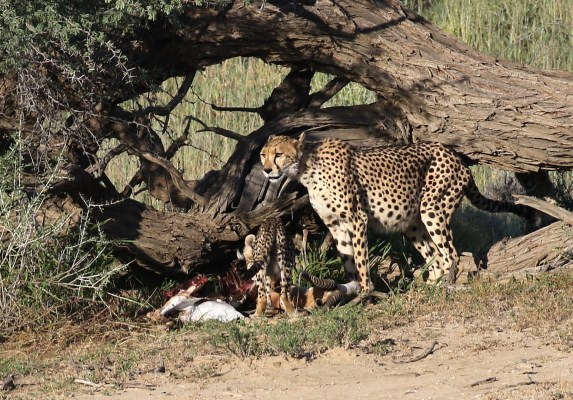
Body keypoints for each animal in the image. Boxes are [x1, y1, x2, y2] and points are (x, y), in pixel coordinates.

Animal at [259, 133, 533, 299]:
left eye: (279, 154)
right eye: (263, 154)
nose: (266, 170)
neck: (307, 168)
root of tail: (456, 156)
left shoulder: (358, 219)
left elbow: (360, 260)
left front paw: (365, 293)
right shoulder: (335, 225)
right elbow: (347, 259)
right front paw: (352, 290)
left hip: (432, 209)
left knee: (451, 255)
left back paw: (446, 288)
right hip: (412, 223)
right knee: (436, 257)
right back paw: (427, 289)